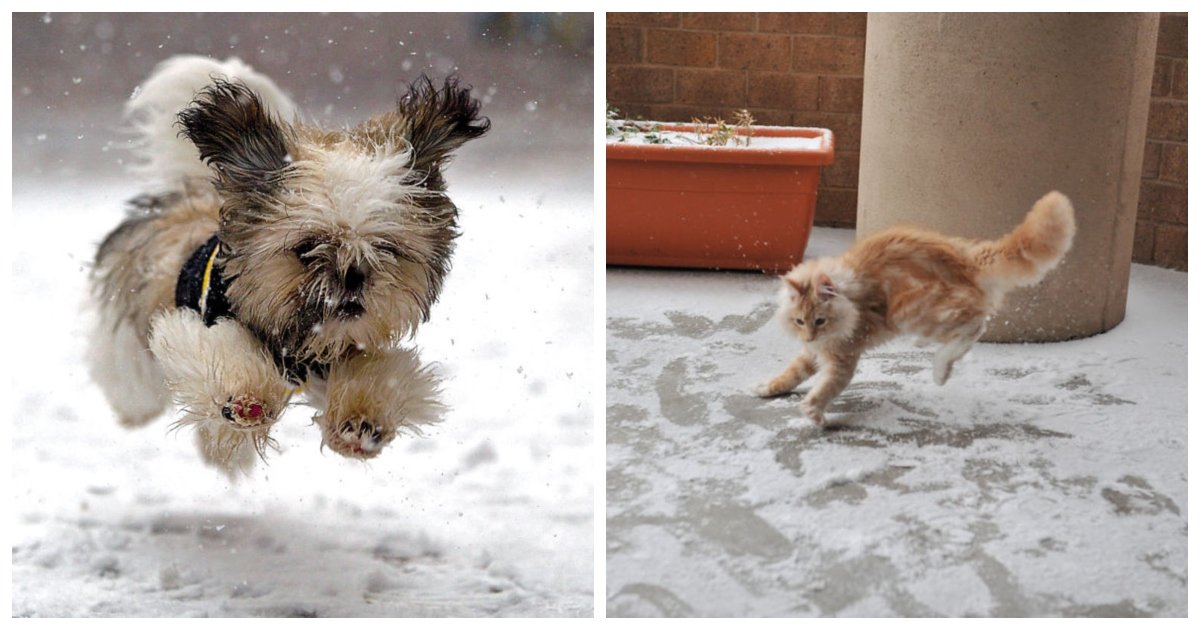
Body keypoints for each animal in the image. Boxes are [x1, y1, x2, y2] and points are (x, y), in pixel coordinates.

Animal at [753, 192, 1075, 424]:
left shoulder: (843, 357)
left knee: (975, 325)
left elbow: (826, 387)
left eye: (820, 321)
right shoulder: (815, 352)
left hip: (910, 310)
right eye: (799, 322)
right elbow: (793, 372)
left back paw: (940, 370)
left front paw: (814, 413)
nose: (809, 336)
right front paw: (769, 387)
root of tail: (966, 259)